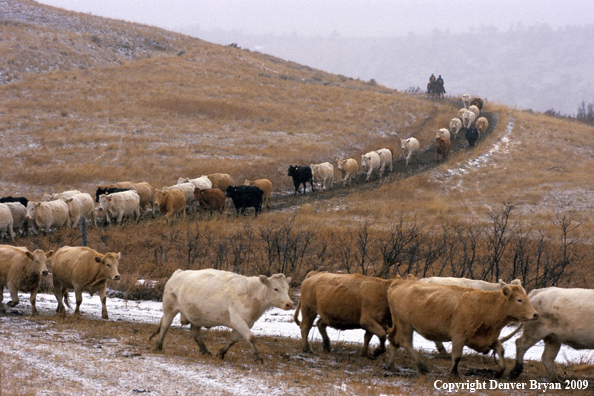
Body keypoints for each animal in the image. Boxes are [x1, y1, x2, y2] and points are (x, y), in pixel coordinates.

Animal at [149, 270, 292, 362]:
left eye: (287, 288)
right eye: (275, 288)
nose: (289, 304)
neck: (252, 294)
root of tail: (178, 272)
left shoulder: (246, 322)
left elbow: (233, 340)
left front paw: (220, 353)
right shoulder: (238, 320)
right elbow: (251, 338)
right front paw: (258, 357)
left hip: (196, 315)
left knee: (195, 332)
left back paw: (205, 351)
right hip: (169, 308)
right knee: (165, 326)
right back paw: (159, 346)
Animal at [384, 276, 536, 378]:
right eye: (519, 300)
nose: (535, 314)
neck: (486, 306)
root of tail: (399, 283)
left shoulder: (486, 338)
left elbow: (501, 350)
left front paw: (499, 371)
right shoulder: (458, 336)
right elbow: (457, 356)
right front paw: (454, 374)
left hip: (399, 323)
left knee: (393, 340)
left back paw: (392, 366)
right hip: (405, 324)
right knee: (405, 342)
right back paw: (422, 366)